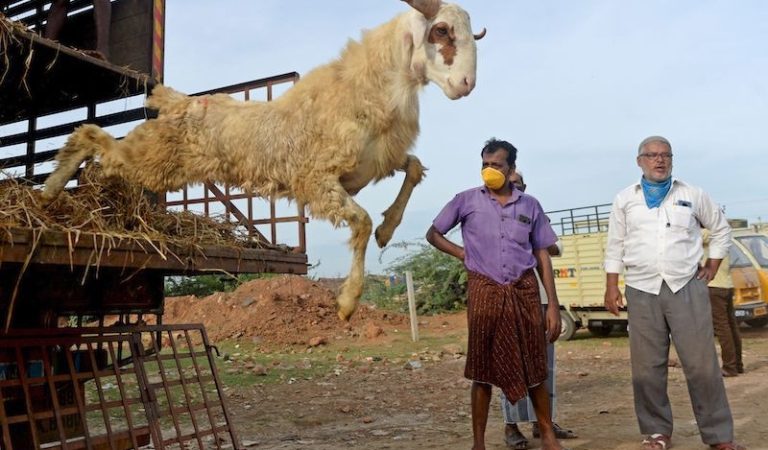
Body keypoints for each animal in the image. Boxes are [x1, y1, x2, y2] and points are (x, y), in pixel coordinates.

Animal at [40, 0, 486, 320]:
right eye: (441, 31)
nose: (466, 84)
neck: (362, 91)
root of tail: (178, 101)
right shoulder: (316, 181)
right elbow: (359, 222)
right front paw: (346, 303)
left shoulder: (368, 167)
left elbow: (413, 169)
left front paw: (388, 229)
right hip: (154, 155)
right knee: (90, 136)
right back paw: (50, 191)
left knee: (102, 159)